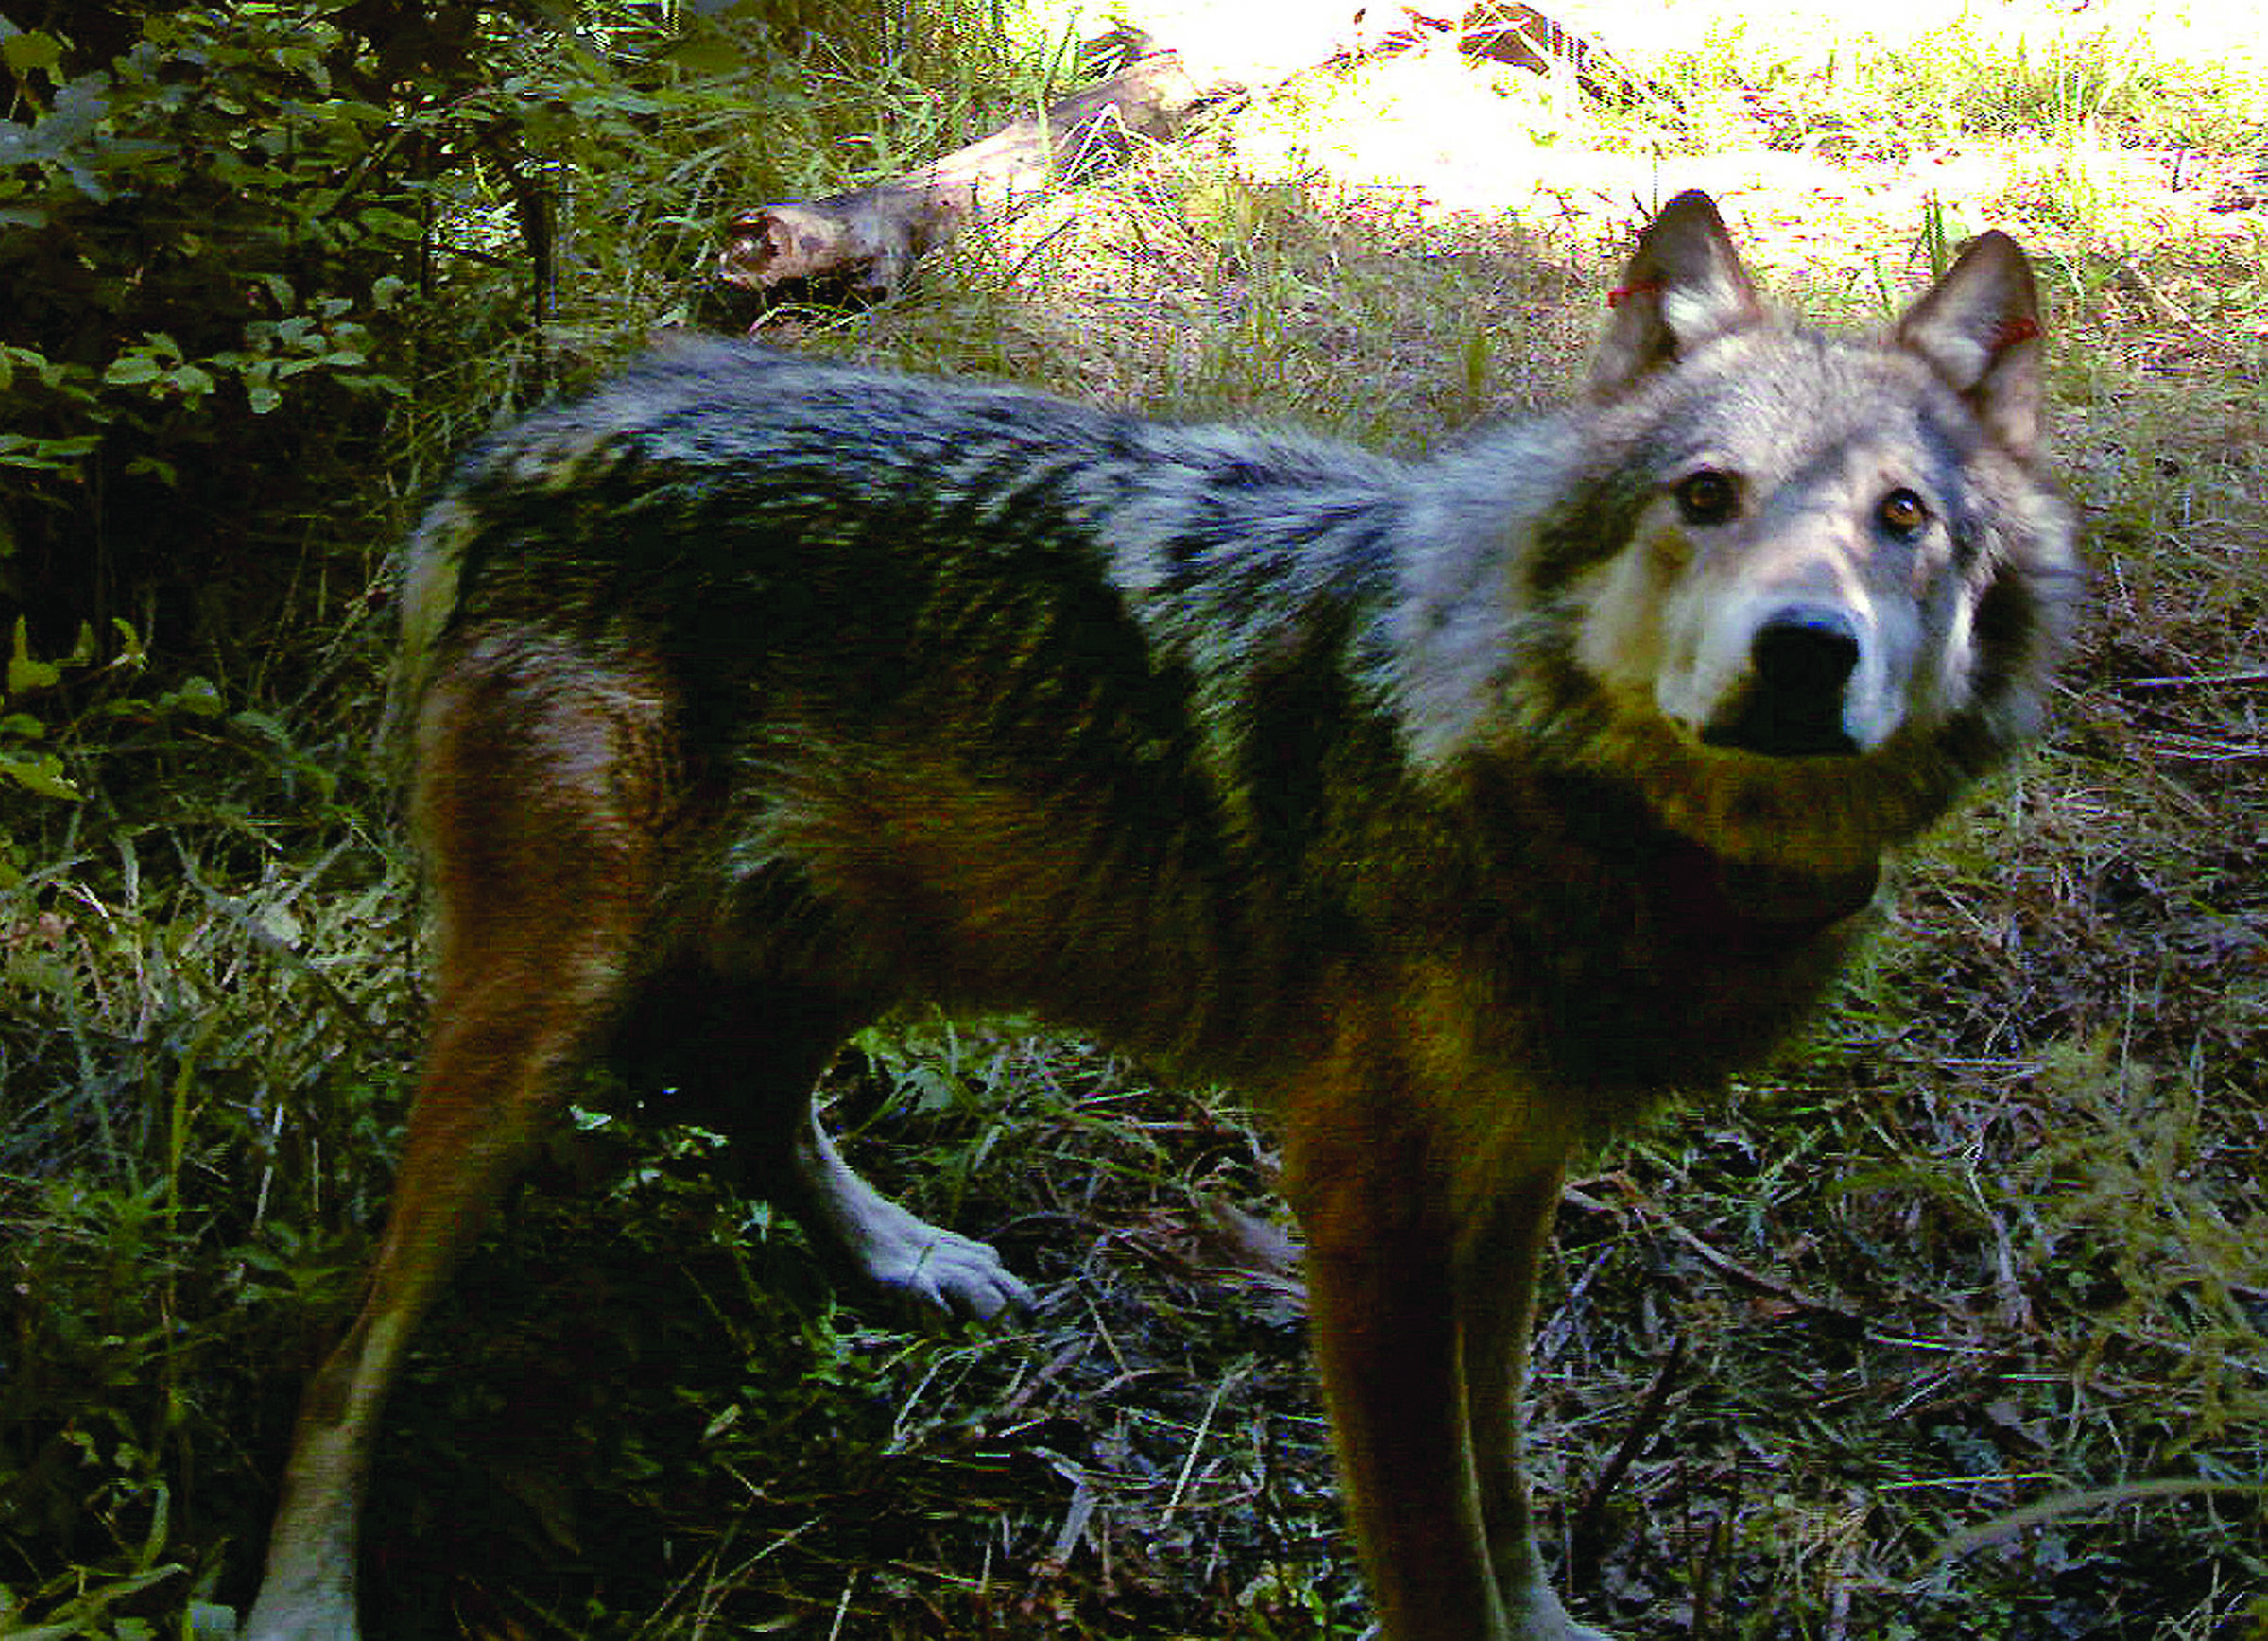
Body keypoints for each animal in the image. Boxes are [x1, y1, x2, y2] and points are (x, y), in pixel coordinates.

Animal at [244, 196, 2077, 1641]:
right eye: (1705, 496)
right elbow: (1434, 1555)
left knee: (744, 1101)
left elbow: (1505, 1487)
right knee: (344, 1354)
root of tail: (517, 443)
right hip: (551, 1015)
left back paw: (905, 1255)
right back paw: (301, 1598)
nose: (1804, 652)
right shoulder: (1368, 1217)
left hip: (884, 933)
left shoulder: (1511, 1185)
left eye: (1903, 520)